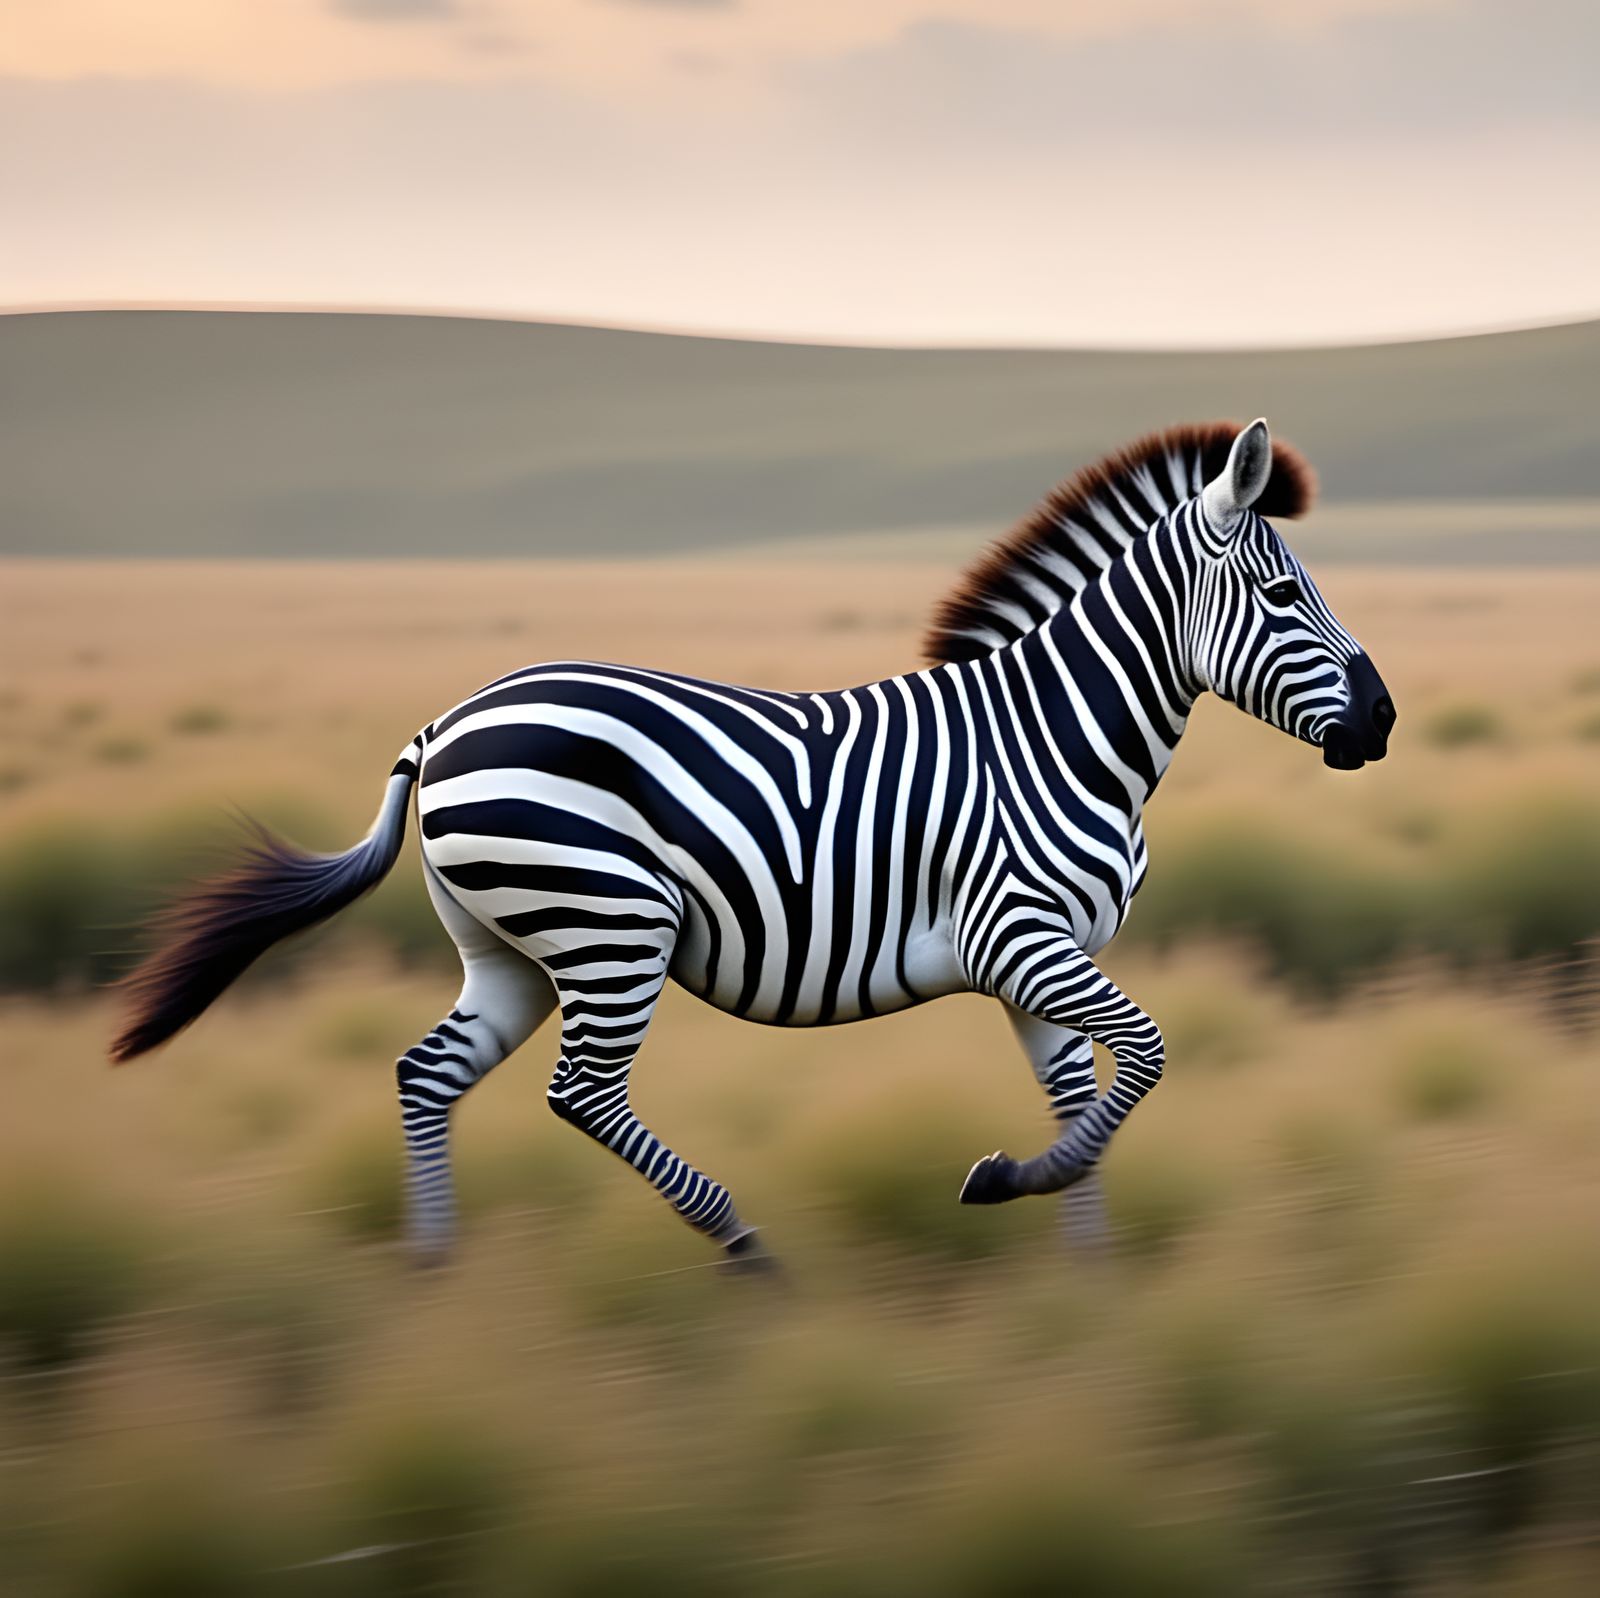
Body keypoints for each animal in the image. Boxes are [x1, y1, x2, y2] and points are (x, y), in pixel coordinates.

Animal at [110, 419, 1395, 1268]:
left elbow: (1086, 1088)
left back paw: (435, 1266)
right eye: (1283, 596)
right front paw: (1017, 1189)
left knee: (427, 1072)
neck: (1056, 737)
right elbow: (1148, 1053)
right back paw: (740, 1241)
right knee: (583, 1092)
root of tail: (447, 721)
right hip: (607, 923)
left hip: (508, 950)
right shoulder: (1017, 938)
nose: (1381, 722)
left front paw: (1082, 1256)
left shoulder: (1043, 958)